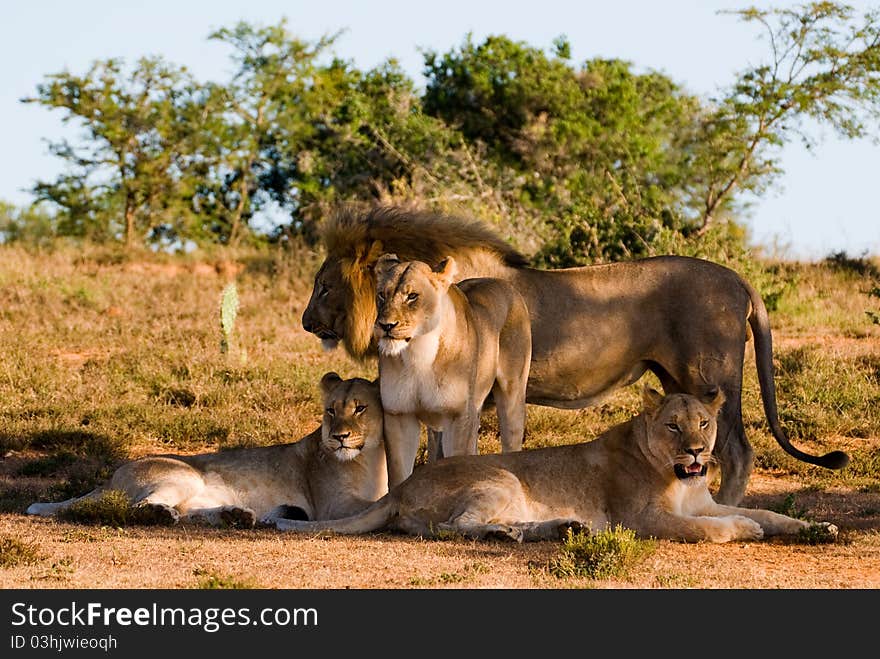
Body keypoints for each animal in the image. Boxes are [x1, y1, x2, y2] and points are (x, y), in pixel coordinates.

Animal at [27, 374, 386, 528]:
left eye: (360, 408)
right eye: (330, 411)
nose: (339, 437)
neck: (372, 459)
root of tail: (110, 478)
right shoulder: (332, 505)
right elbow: (374, 504)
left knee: (189, 512)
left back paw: (235, 516)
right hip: (183, 476)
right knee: (138, 506)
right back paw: (159, 515)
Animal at [268, 390, 840, 544]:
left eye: (704, 423)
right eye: (674, 427)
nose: (699, 452)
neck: (680, 478)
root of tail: (400, 487)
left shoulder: (705, 499)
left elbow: (771, 515)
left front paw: (819, 528)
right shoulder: (641, 519)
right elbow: (710, 529)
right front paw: (742, 529)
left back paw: (562, 527)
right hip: (499, 477)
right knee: (454, 527)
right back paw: (510, 534)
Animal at [372, 253, 528, 484]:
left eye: (412, 296)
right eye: (382, 295)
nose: (385, 325)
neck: (418, 352)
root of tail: (506, 285)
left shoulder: (458, 417)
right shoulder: (398, 415)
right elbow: (399, 475)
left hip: (512, 396)